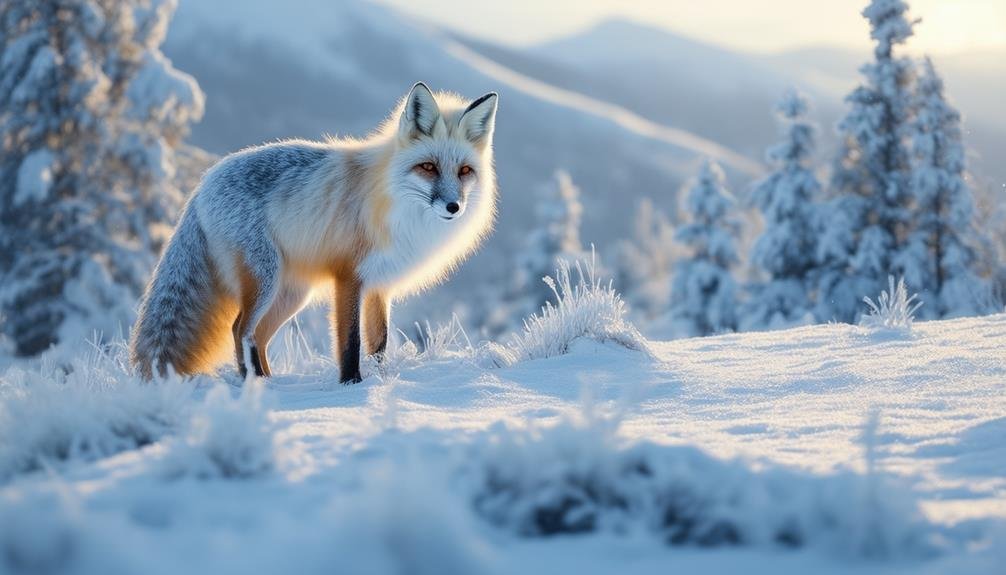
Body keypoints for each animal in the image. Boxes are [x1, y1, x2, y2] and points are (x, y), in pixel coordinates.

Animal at [129, 81, 498, 381]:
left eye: (464, 171)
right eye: (429, 167)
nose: (453, 207)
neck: (392, 202)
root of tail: (202, 184)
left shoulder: (380, 283)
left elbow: (379, 343)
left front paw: (380, 381)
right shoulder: (349, 275)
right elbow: (350, 341)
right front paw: (352, 385)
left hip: (291, 294)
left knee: (258, 335)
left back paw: (269, 379)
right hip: (265, 280)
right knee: (240, 329)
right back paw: (253, 382)